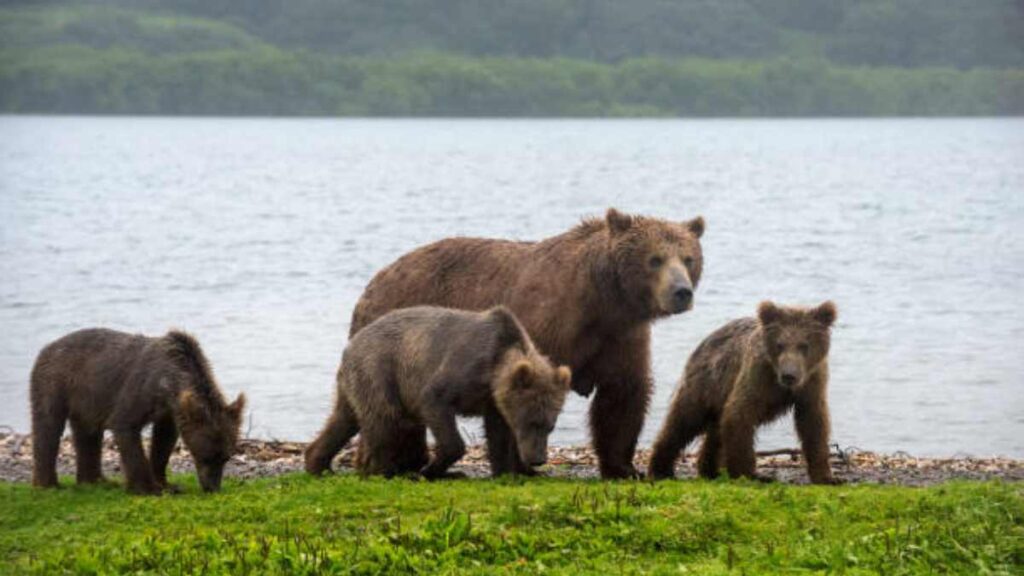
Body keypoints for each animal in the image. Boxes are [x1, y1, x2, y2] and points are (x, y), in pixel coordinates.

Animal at [29, 327, 245, 494]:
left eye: (225, 457)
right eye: (206, 456)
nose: (212, 488)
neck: (169, 381)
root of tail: (47, 347)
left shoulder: (168, 411)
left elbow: (164, 440)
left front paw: (166, 483)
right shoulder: (142, 388)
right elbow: (126, 425)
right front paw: (148, 488)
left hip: (86, 398)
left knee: (88, 434)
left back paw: (96, 481)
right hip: (55, 382)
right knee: (48, 426)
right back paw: (48, 484)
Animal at [303, 305, 577, 475]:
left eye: (550, 425)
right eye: (530, 421)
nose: (538, 459)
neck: (494, 368)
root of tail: (351, 344)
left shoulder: (492, 398)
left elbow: (497, 431)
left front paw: (502, 470)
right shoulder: (461, 369)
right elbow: (436, 403)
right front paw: (431, 469)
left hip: (354, 382)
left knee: (344, 419)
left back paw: (317, 463)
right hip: (379, 369)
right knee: (385, 420)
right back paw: (381, 470)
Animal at [352, 208, 704, 477]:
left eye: (688, 258)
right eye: (655, 259)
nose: (681, 292)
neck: (603, 298)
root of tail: (374, 281)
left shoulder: (621, 334)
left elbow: (622, 395)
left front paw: (623, 468)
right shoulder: (544, 323)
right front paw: (516, 465)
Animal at [647, 301, 839, 483]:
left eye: (804, 345)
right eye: (780, 345)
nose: (789, 375)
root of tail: (708, 337)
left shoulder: (812, 383)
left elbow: (814, 424)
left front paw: (827, 477)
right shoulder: (758, 376)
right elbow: (740, 414)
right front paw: (751, 474)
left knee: (715, 431)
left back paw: (710, 471)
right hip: (705, 383)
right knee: (683, 420)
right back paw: (660, 470)